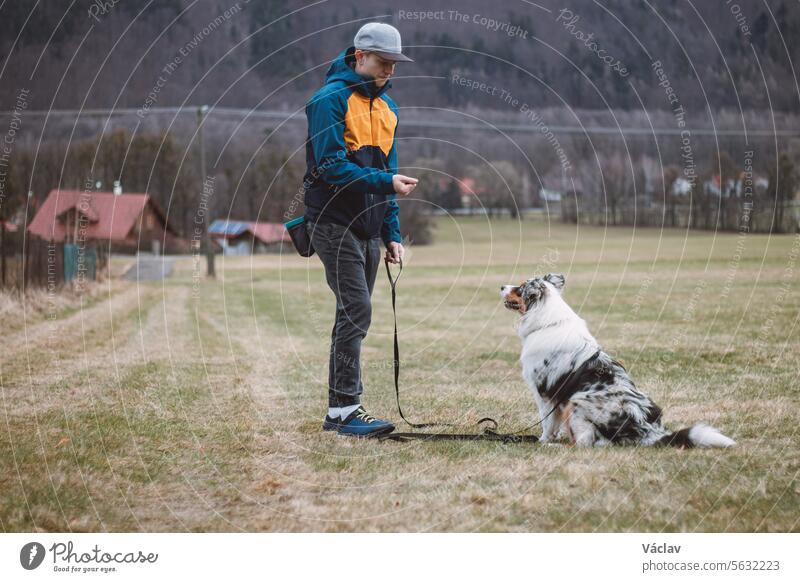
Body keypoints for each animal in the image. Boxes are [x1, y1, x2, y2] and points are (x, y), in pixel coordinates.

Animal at [500, 274, 736, 452]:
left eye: (520, 288)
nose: (502, 286)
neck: (548, 320)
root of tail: (647, 429)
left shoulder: (544, 394)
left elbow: (547, 424)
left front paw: (544, 440)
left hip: (576, 401)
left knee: (586, 443)